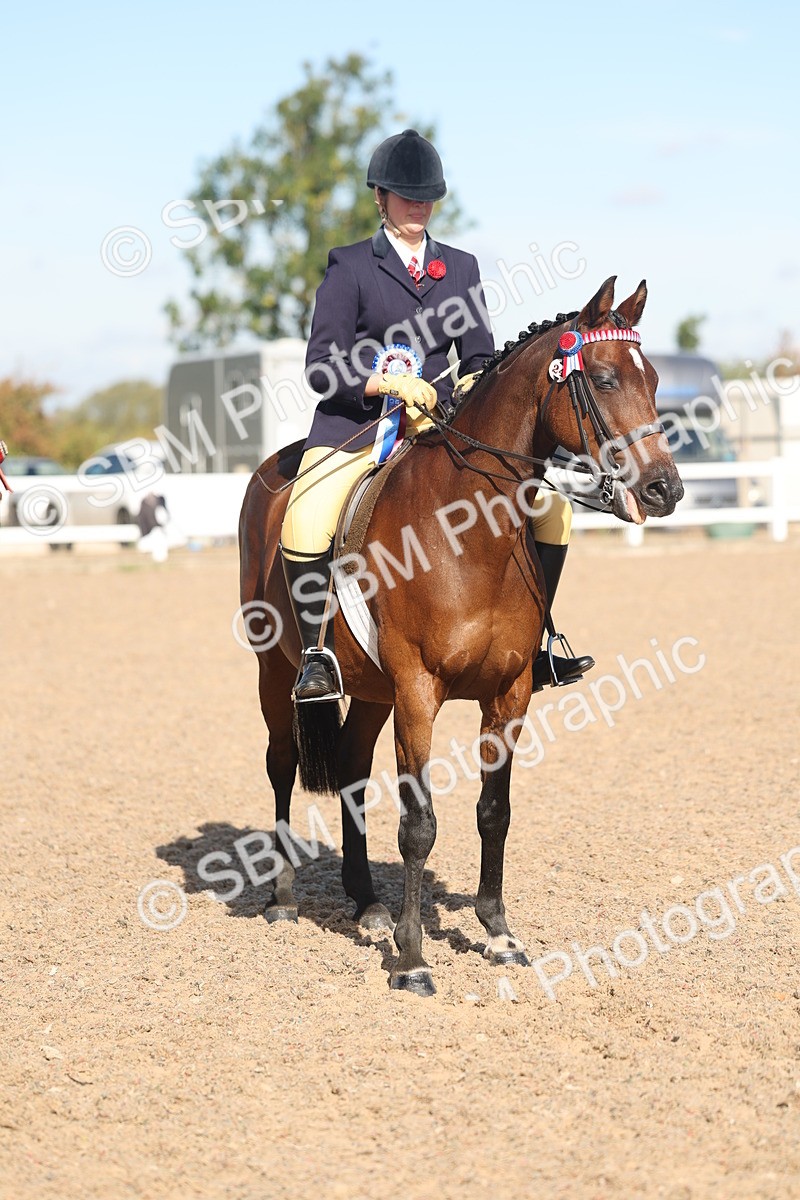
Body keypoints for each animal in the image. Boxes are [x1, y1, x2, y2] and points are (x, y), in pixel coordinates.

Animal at [238, 276, 684, 996]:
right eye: (606, 379)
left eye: (654, 379)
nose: (664, 489)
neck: (469, 533)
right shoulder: (419, 693)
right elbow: (418, 825)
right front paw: (414, 961)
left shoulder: (509, 693)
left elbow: (493, 812)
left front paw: (498, 933)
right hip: (275, 672)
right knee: (281, 764)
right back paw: (281, 898)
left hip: (373, 692)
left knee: (354, 771)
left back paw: (367, 905)